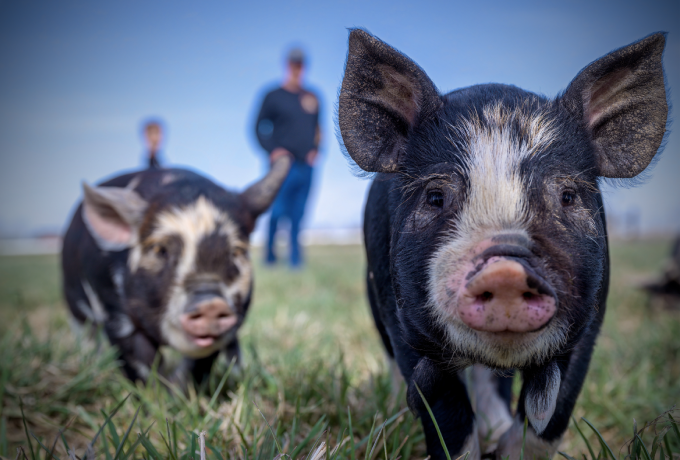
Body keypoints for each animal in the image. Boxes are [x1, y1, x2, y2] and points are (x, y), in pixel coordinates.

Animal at [64, 156, 294, 386]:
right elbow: (139, 362)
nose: (211, 303)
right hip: (74, 303)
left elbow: (197, 365)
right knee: (86, 333)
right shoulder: (114, 314)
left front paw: (179, 391)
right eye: (159, 250)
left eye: (237, 252)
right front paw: (155, 393)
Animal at [338, 29, 668, 460]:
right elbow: (449, 422)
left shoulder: (591, 321)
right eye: (435, 197)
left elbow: (552, 417)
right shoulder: (402, 318)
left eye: (567, 196)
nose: (507, 269)